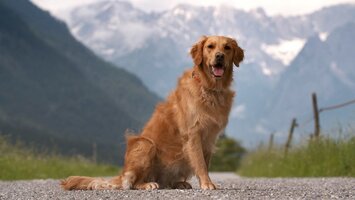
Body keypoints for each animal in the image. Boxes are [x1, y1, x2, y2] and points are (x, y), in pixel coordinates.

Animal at [61, 35, 245, 191]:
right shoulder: (193, 133)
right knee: (133, 182)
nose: (219, 56)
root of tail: (121, 173)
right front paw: (207, 184)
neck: (210, 89)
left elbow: (205, 163)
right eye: (210, 47)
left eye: (227, 47)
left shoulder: (210, 138)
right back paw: (147, 184)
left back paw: (179, 183)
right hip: (145, 144)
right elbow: (200, 163)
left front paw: (205, 182)